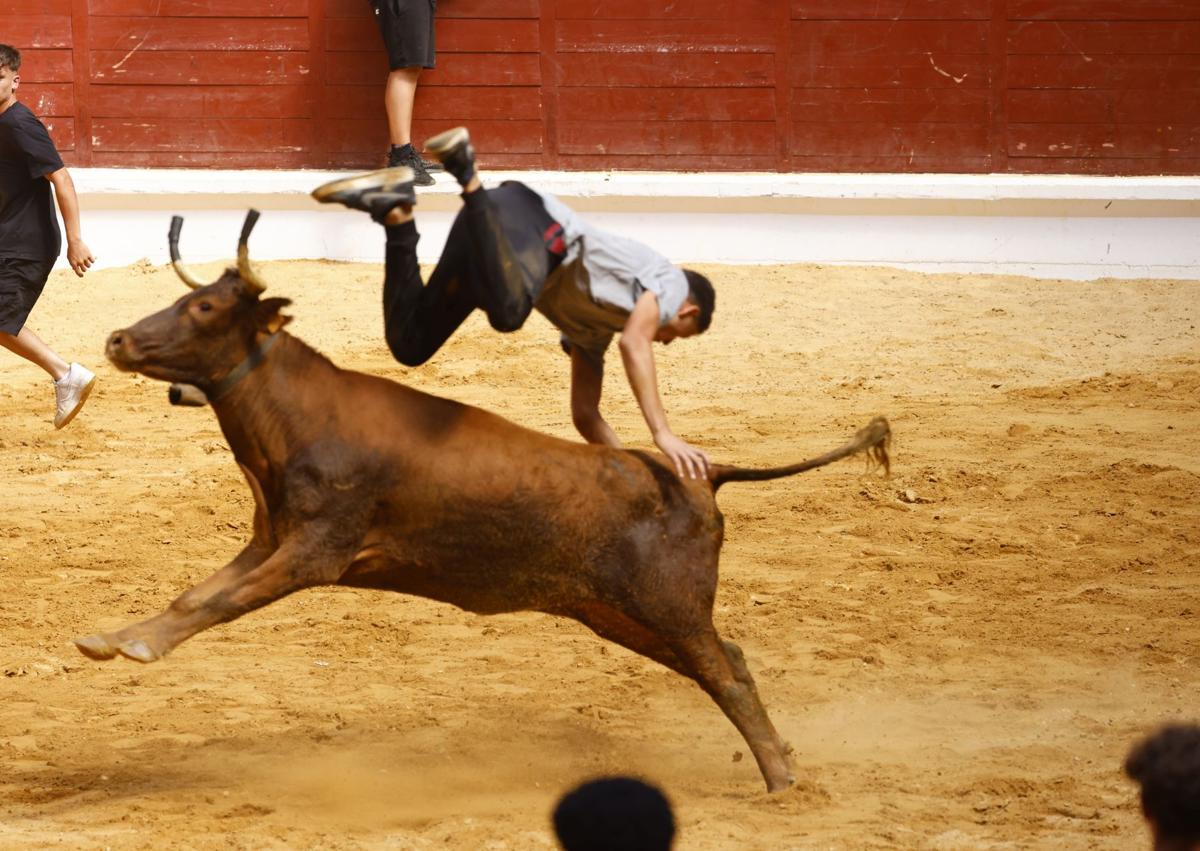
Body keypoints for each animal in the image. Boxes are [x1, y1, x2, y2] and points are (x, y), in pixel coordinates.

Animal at [79, 211, 892, 792]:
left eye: (206, 307)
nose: (118, 339)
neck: (297, 416)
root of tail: (697, 473)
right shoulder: (268, 538)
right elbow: (194, 595)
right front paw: (111, 637)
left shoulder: (314, 552)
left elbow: (221, 601)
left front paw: (137, 645)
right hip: (617, 611)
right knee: (731, 660)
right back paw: (784, 761)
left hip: (666, 605)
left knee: (724, 674)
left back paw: (783, 780)